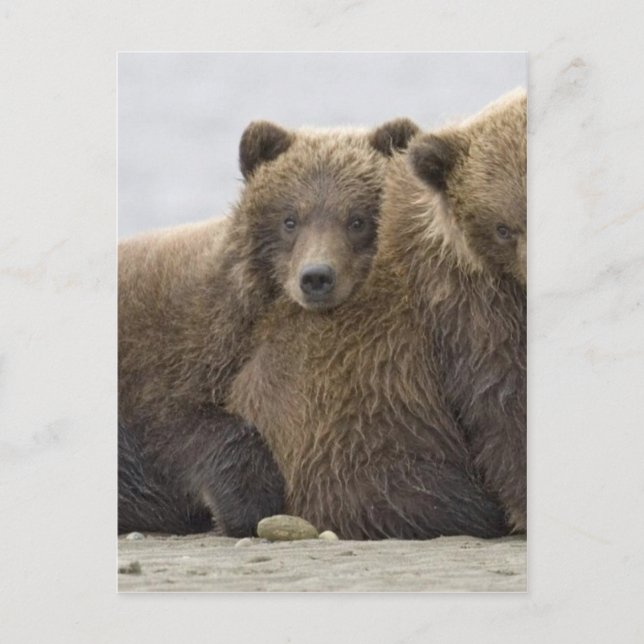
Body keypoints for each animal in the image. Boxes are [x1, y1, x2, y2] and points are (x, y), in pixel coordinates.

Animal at [118, 117, 420, 536]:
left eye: (357, 219)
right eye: (290, 219)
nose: (316, 277)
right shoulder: (172, 356)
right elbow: (184, 427)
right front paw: (248, 502)